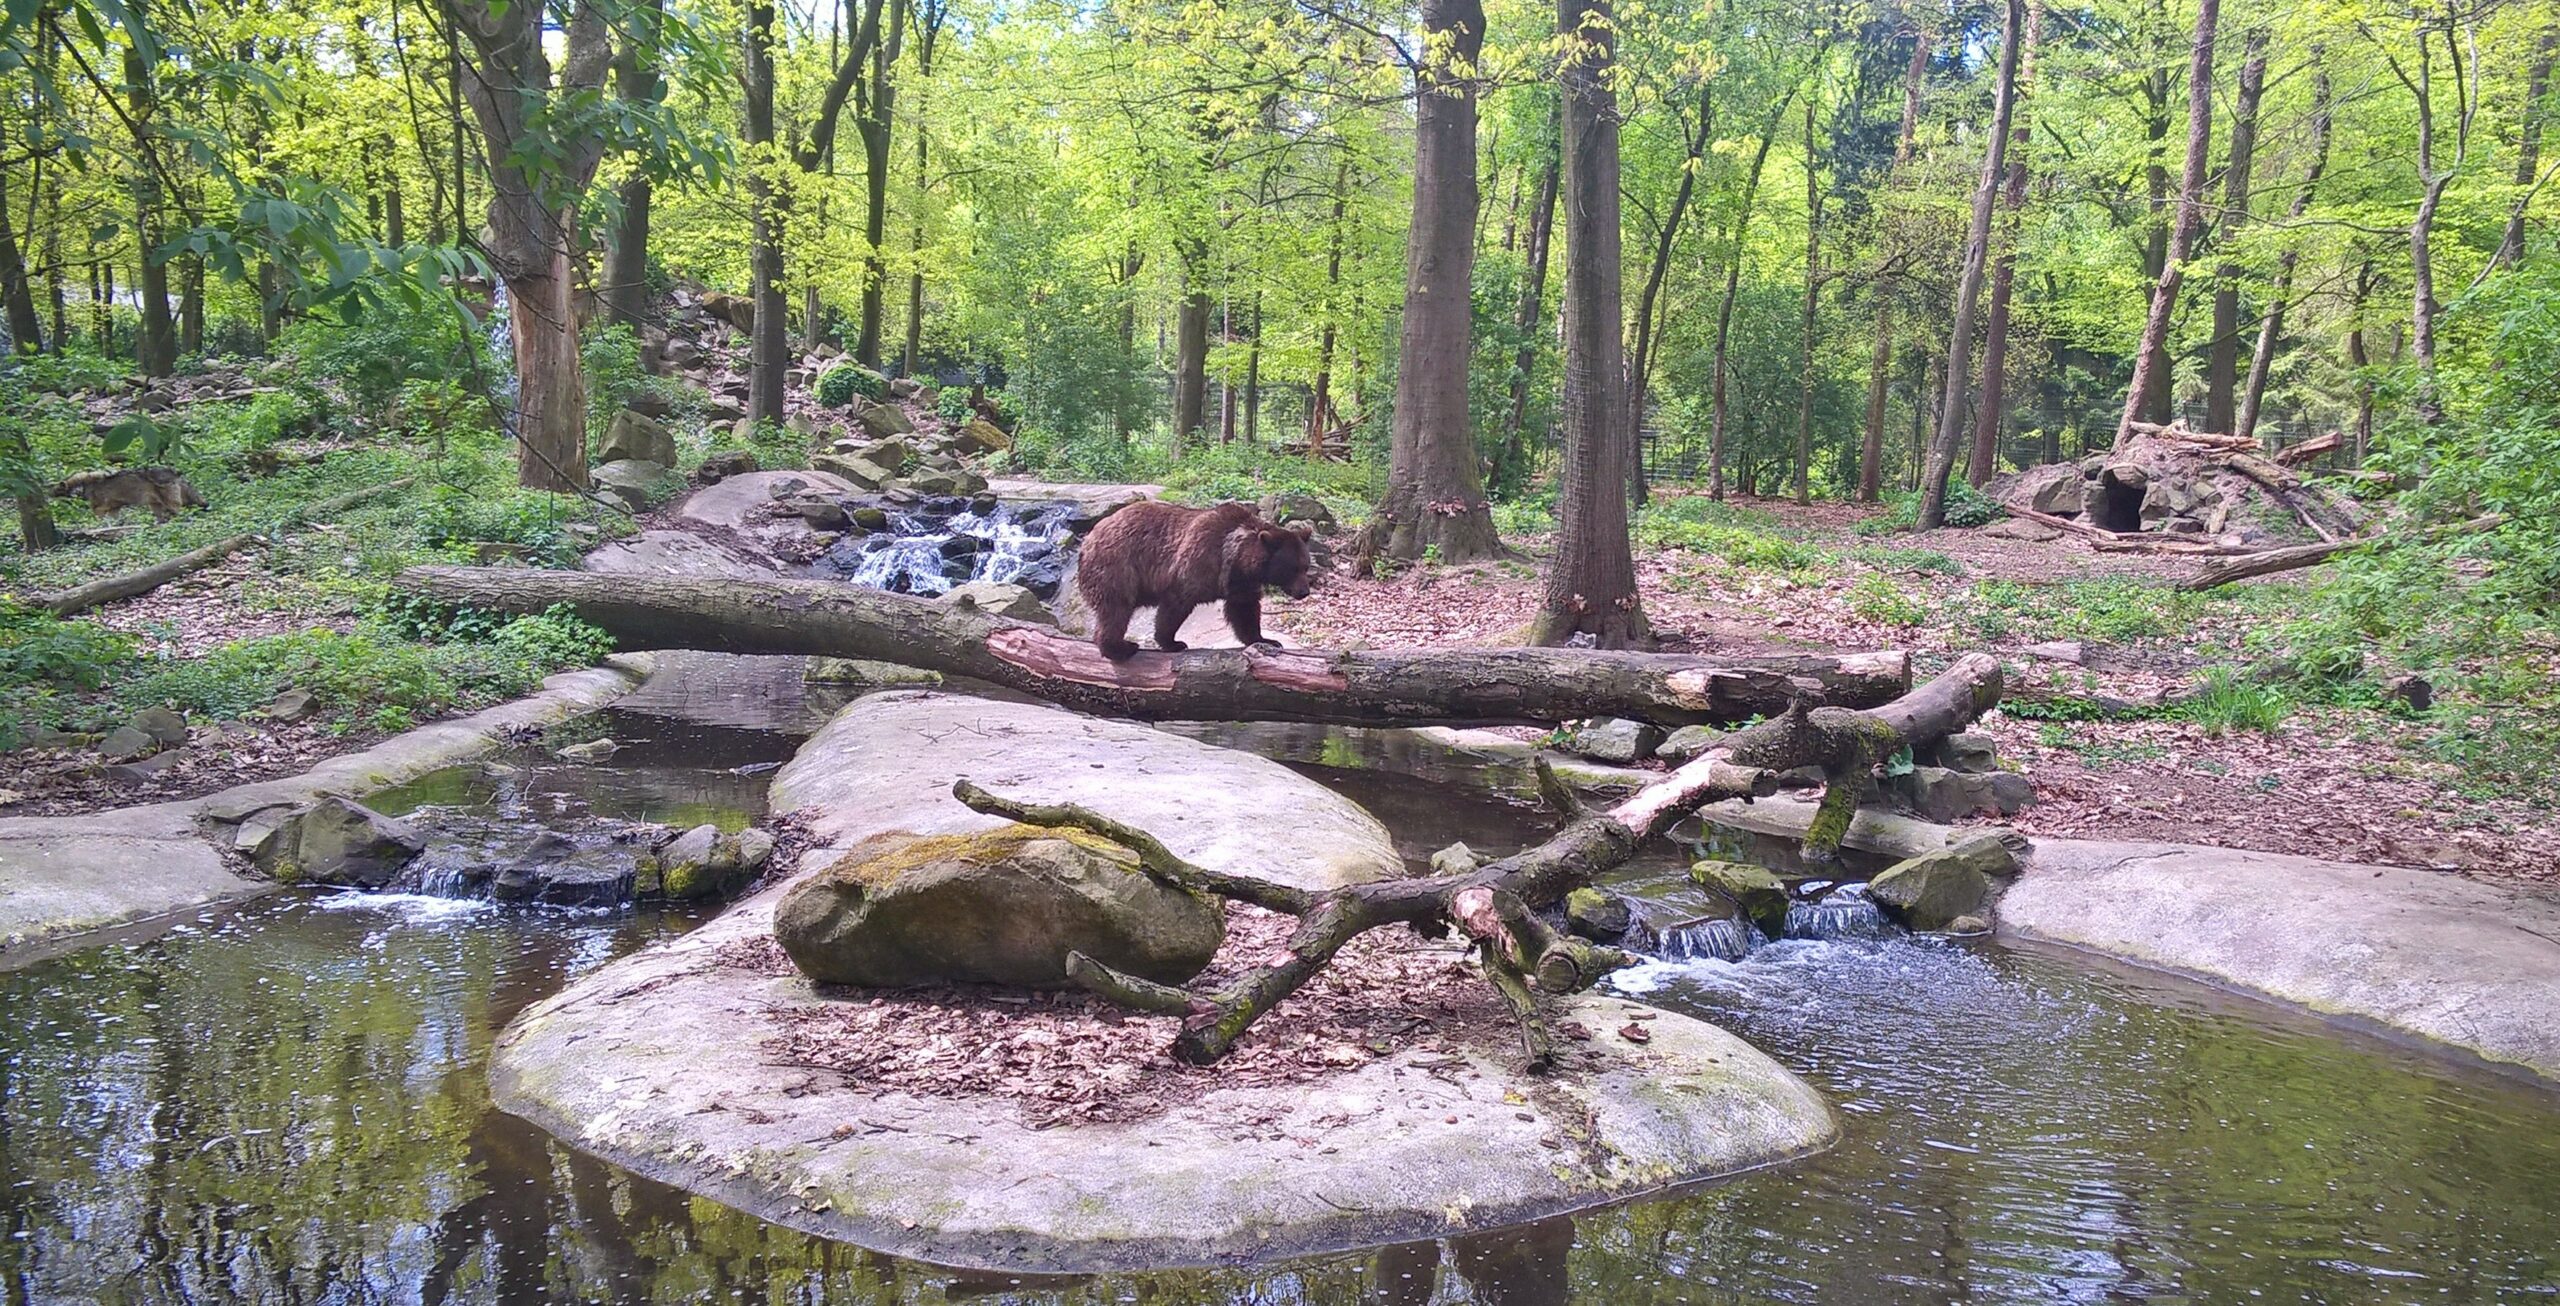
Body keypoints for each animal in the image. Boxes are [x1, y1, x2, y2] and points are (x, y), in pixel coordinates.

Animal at [1073, 500, 1316, 660]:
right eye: (1292, 569)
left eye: (1306, 566)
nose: (1304, 591)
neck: (1237, 558)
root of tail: (1087, 539)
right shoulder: (1197, 563)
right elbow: (1176, 604)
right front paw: (1173, 642)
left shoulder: (1241, 583)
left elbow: (1244, 610)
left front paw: (1265, 639)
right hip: (1117, 565)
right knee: (1116, 608)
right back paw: (1120, 648)